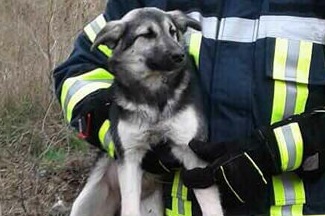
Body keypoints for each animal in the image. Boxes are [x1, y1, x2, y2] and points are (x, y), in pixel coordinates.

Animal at [69, 7, 223, 216]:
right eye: (147, 34)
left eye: (172, 31)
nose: (179, 55)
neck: (154, 93)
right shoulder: (130, 158)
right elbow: (130, 208)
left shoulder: (193, 154)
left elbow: (211, 205)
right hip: (84, 203)